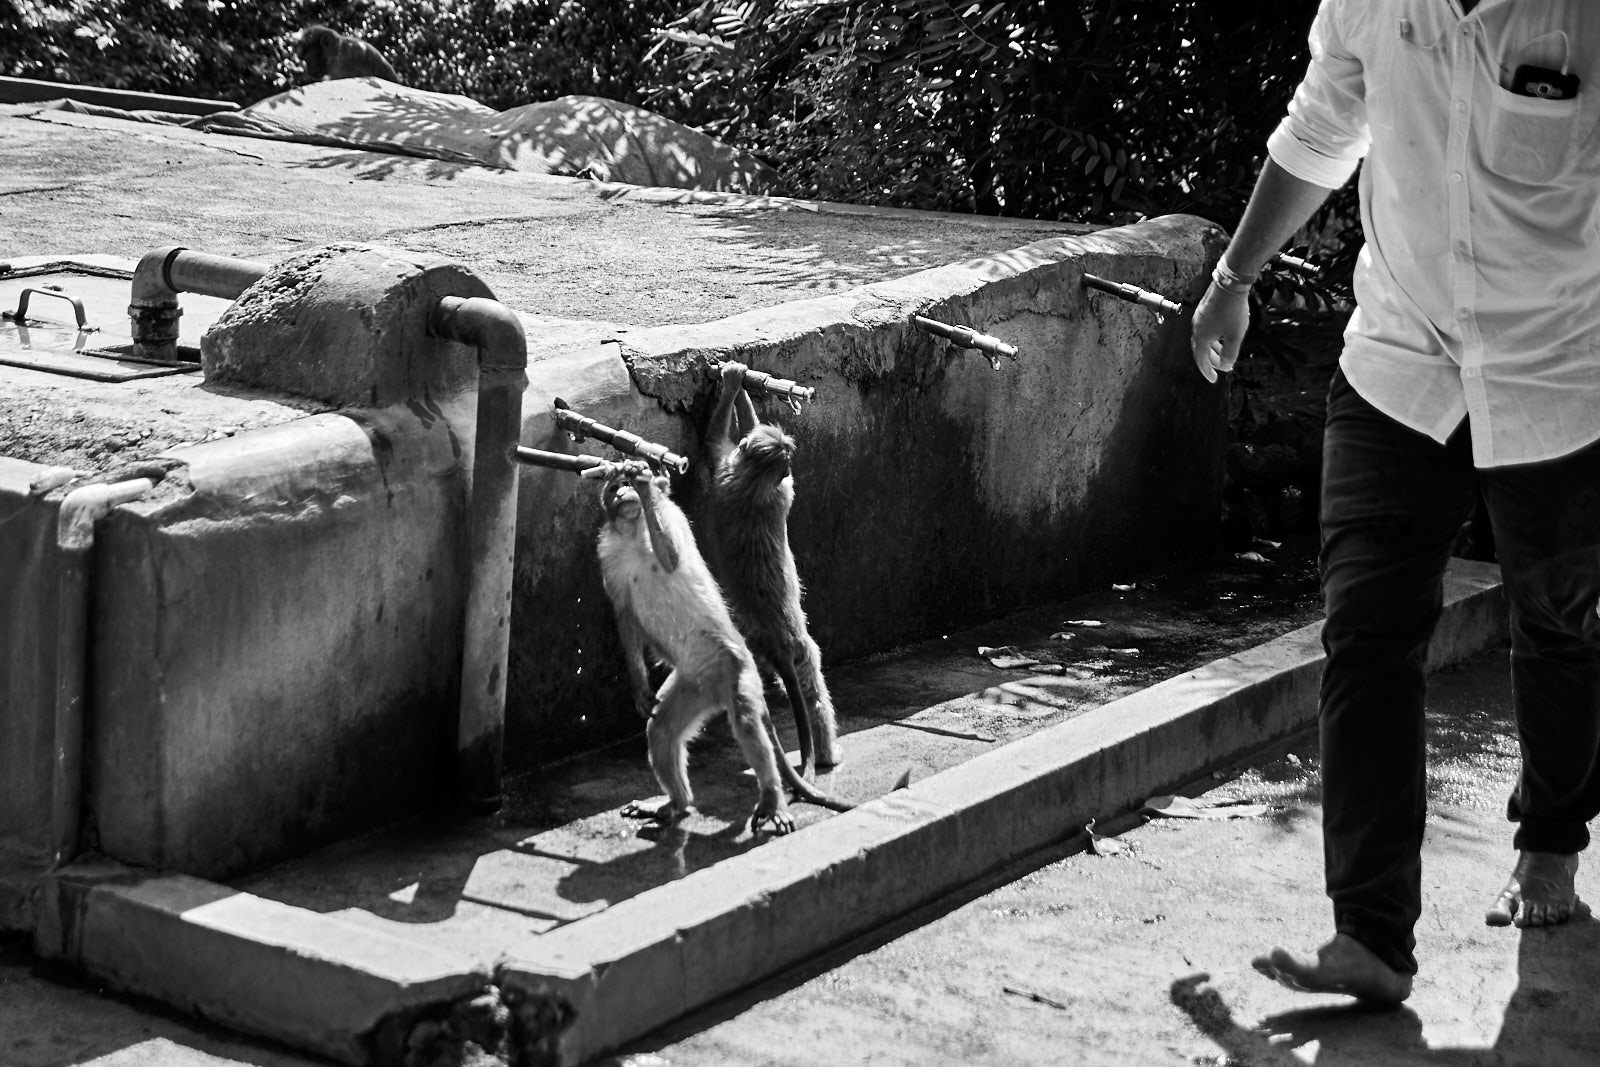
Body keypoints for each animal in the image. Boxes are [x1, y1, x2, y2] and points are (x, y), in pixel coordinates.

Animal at [595, 462, 855, 835]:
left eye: (625, 482)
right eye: (615, 486)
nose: (625, 489)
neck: (632, 531)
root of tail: (715, 690)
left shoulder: (672, 518)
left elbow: (671, 556)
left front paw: (648, 486)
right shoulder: (607, 552)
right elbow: (624, 613)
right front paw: (639, 687)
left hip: (736, 668)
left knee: (746, 721)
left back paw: (772, 800)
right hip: (693, 683)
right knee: (661, 730)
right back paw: (675, 803)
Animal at [701, 362, 841, 781]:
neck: (755, 485)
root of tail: (779, 639)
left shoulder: (728, 469)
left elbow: (714, 441)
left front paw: (734, 380)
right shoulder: (758, 482)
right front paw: (740, 381)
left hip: (774, 646)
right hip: (794, 650)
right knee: (813, 687)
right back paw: (826, 753)